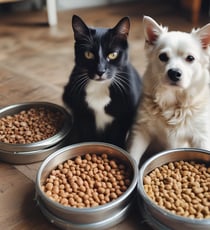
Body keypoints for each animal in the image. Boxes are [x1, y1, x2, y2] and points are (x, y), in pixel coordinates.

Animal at [62, 14, 141, 148]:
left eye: (113, 55)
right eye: (88, 54)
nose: (100, 71)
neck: (100, 87)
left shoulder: (123, 117)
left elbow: (116, 138)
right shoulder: (82, 115)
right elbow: (87, 137)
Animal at [127, 15, 210, 164]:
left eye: (190, 58)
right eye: (163, 57)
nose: (174, 73)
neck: (173, 104)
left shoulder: (202, 137)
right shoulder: (140, 131)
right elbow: (133, 154)